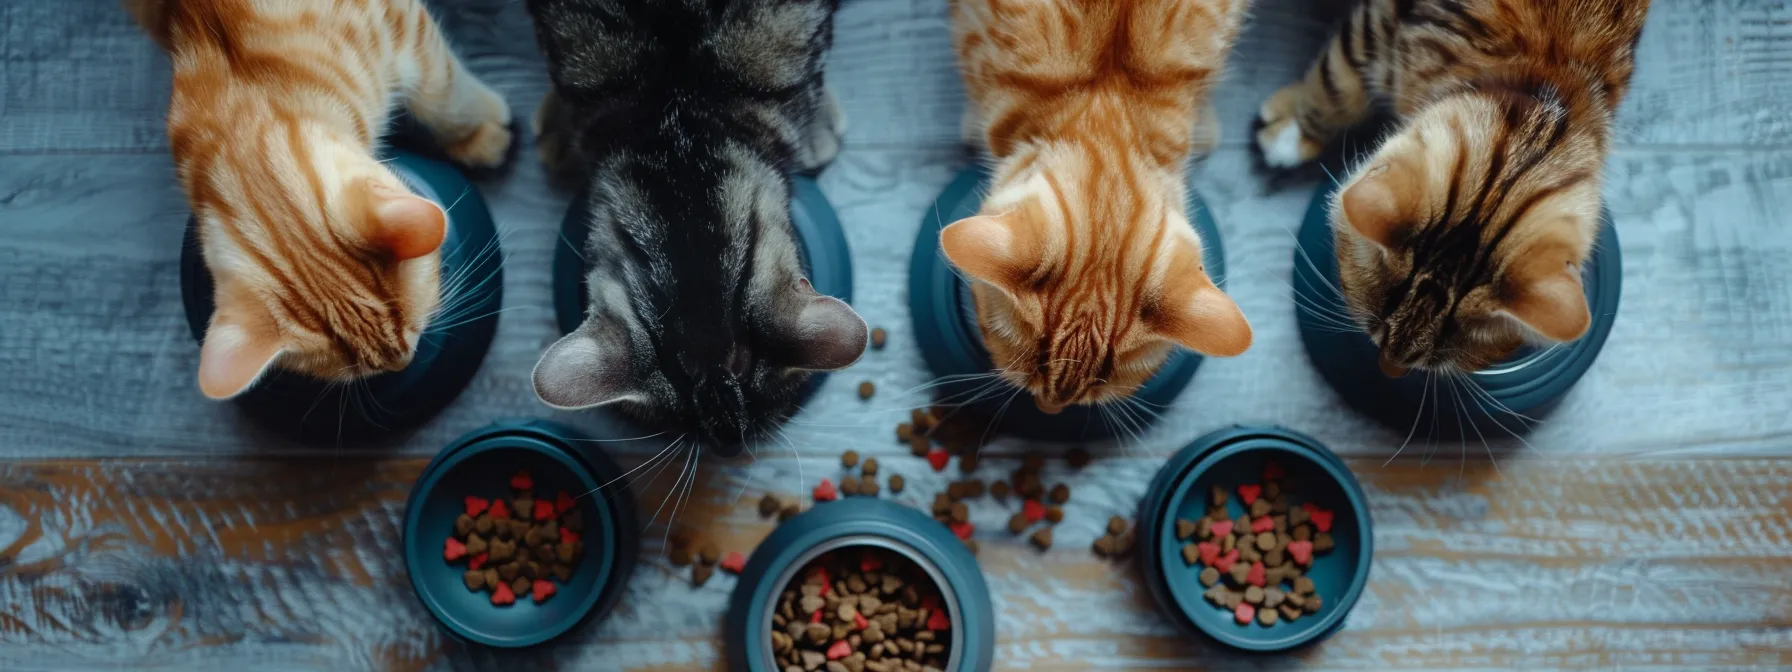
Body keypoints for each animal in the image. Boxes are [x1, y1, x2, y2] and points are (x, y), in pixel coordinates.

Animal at [127, 0, 516, 399]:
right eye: (361, 370)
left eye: (413, 328)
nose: (403, 362)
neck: (248, 82)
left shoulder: (402, 21)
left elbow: (444, 93)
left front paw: (481, 136)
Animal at [1261, 0, 1648, 376]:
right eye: (1373, 330)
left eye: (1430, 363)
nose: (1389, 370)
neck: (1548, 92)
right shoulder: (1382, 20)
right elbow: (1336, 81)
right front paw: (1292, 134)